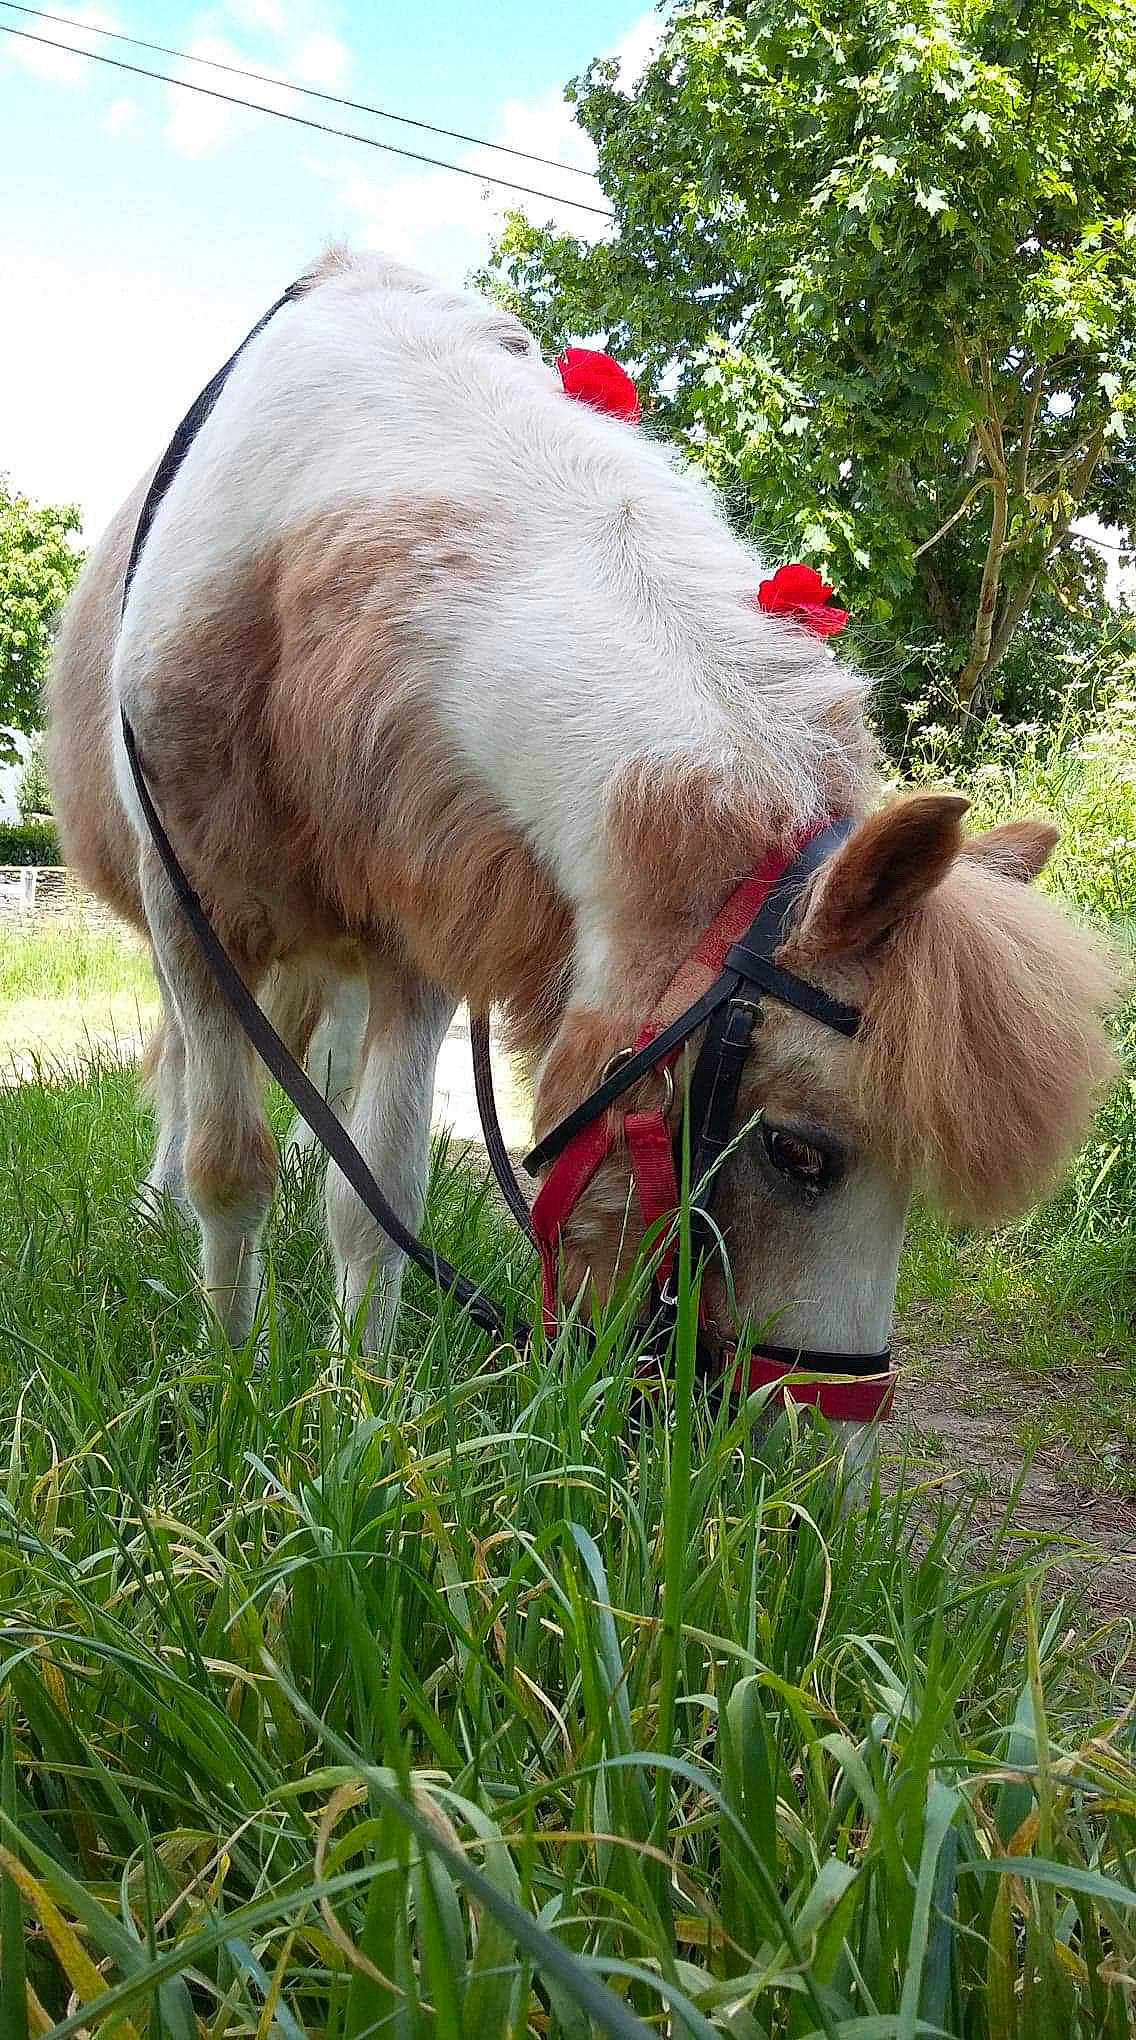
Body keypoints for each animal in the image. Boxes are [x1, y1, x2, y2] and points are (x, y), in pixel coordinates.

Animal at [46, 246, 1120, 1453]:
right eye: (798, 1155)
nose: (822, 1469)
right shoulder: (194, 918)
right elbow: (229, 1168)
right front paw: (233, 1381)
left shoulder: (416, 938)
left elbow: (377, 1191)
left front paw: (360, 1404)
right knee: (183, 1073)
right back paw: (157, 1208)